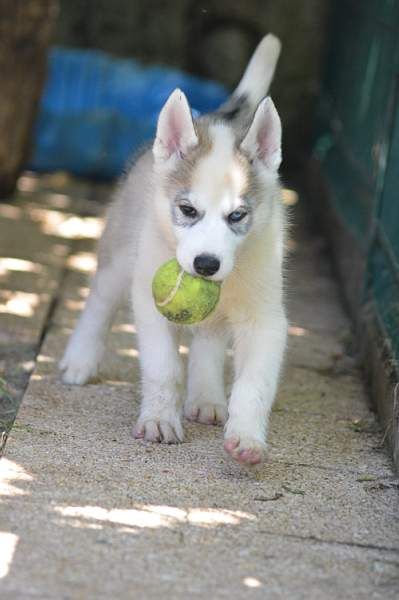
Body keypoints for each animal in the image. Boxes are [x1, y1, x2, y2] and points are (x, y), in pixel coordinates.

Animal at [60, 34, 288, 464]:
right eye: (187, 210)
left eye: (237, 216)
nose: (206, 264)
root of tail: (212, 118)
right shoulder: (148, 303)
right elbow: (163, 368)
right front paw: (159, 422)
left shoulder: (265, 319)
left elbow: (255, 384)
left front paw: (247, 438)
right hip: (120, 258)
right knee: (99, 302)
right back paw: (79, 361)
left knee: (209, 340)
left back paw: (206, 398)